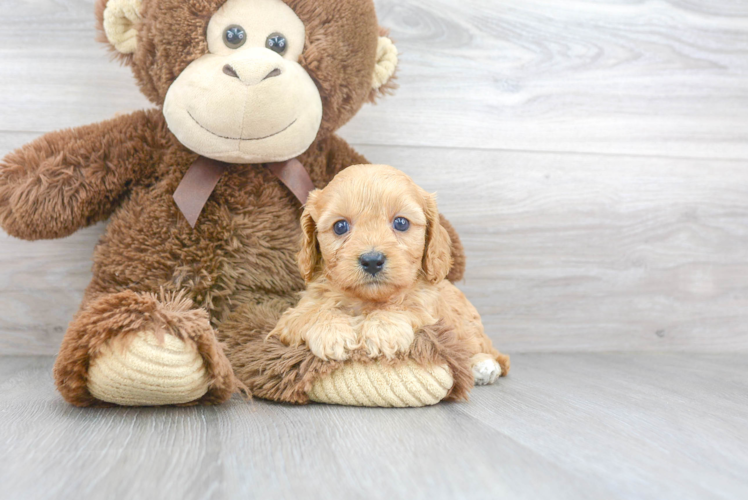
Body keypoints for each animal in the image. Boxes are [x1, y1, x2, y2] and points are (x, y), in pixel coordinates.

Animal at [268, 166, 508, 384]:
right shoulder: (293, 315)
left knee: (488, 350)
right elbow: (314, 312)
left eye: (401, 223)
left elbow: (405, 307)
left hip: (467, 325)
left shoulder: (427, 309)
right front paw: (331, 333)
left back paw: (483, 365)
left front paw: (383, 330)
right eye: (340, 226)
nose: (372, 261)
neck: (367, 300)